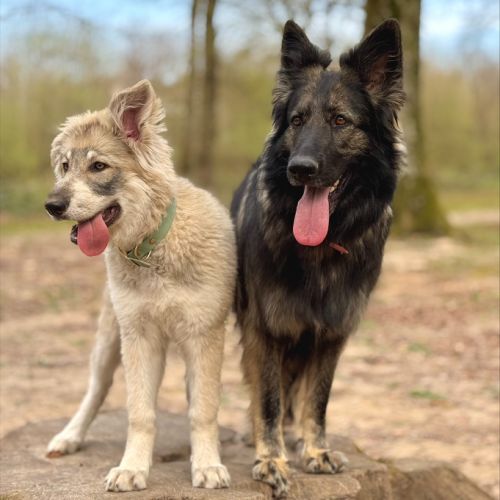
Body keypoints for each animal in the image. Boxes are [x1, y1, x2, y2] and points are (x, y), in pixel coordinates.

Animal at [44, 80, 236, 492]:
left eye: (98, 166)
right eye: (64, 167)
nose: (52, 205)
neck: (153, 250)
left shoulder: (204, 336)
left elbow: (203, 409)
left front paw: (207, 464)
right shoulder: (140, 337)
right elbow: (140, 413)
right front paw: (132, 467)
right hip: (108, 343)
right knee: (95, 392)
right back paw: (69, 436)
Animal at [231, 19, 404, 497]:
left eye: (340, 120)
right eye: (297, 120)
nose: (300, 169)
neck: (320, 248)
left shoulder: (331, 332)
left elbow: (318, 398)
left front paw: (315, 450)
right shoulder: (265, 330)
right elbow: (268, 400)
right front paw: (271, 460)